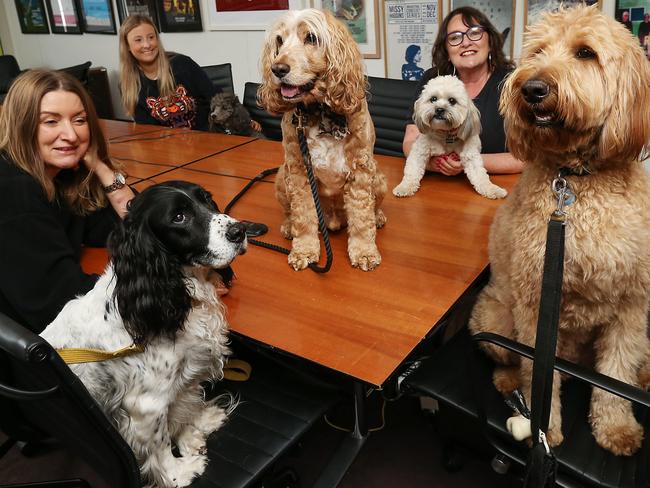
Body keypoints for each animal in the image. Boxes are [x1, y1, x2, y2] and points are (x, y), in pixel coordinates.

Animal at [256, 7, 384, 270]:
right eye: (279, 41)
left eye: (311, 38)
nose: (278, 69)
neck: (318, 111)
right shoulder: (298, 171)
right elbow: (303, 215)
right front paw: (304, 249)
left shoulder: (361, 170)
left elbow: (361, 217)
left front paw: (364, 251)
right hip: (281, 177)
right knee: (290, 212)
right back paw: (288, 227)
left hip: (378, 177)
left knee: (373, 207)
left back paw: (378, 217)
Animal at [468, 3, 648, 456]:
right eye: (537, 52)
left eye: (585, 53)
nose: (532, 88)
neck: (577, 181)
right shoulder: (535, 305)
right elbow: (537, 372)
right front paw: (543, 429)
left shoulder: (632, 307)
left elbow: (616, 375)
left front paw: (617, 428)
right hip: (494, 317)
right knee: (511, 363)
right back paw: (511, 385)